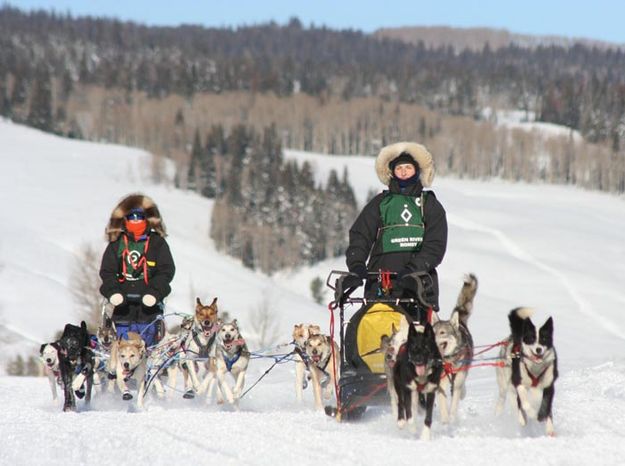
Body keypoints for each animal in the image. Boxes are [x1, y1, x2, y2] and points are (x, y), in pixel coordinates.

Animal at [432, 274, 476, 422]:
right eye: (431, 331)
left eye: (442, 333)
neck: (448, 362)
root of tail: (460, 322)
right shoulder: (440, 385)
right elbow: (443, 405)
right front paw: (445, 421)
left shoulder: (456, 382)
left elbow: (454, 404)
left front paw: (451, 419)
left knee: (461, 387)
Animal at [494, 308, 560, 436]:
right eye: (531, 339)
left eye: (544, 339)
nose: (538, 349)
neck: (535, 369)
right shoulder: (519, 382)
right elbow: (525, 403)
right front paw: (531, 414)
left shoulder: (549, 385)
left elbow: (546, 405)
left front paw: (548, 426)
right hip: (504, 385)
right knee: (507, 401)